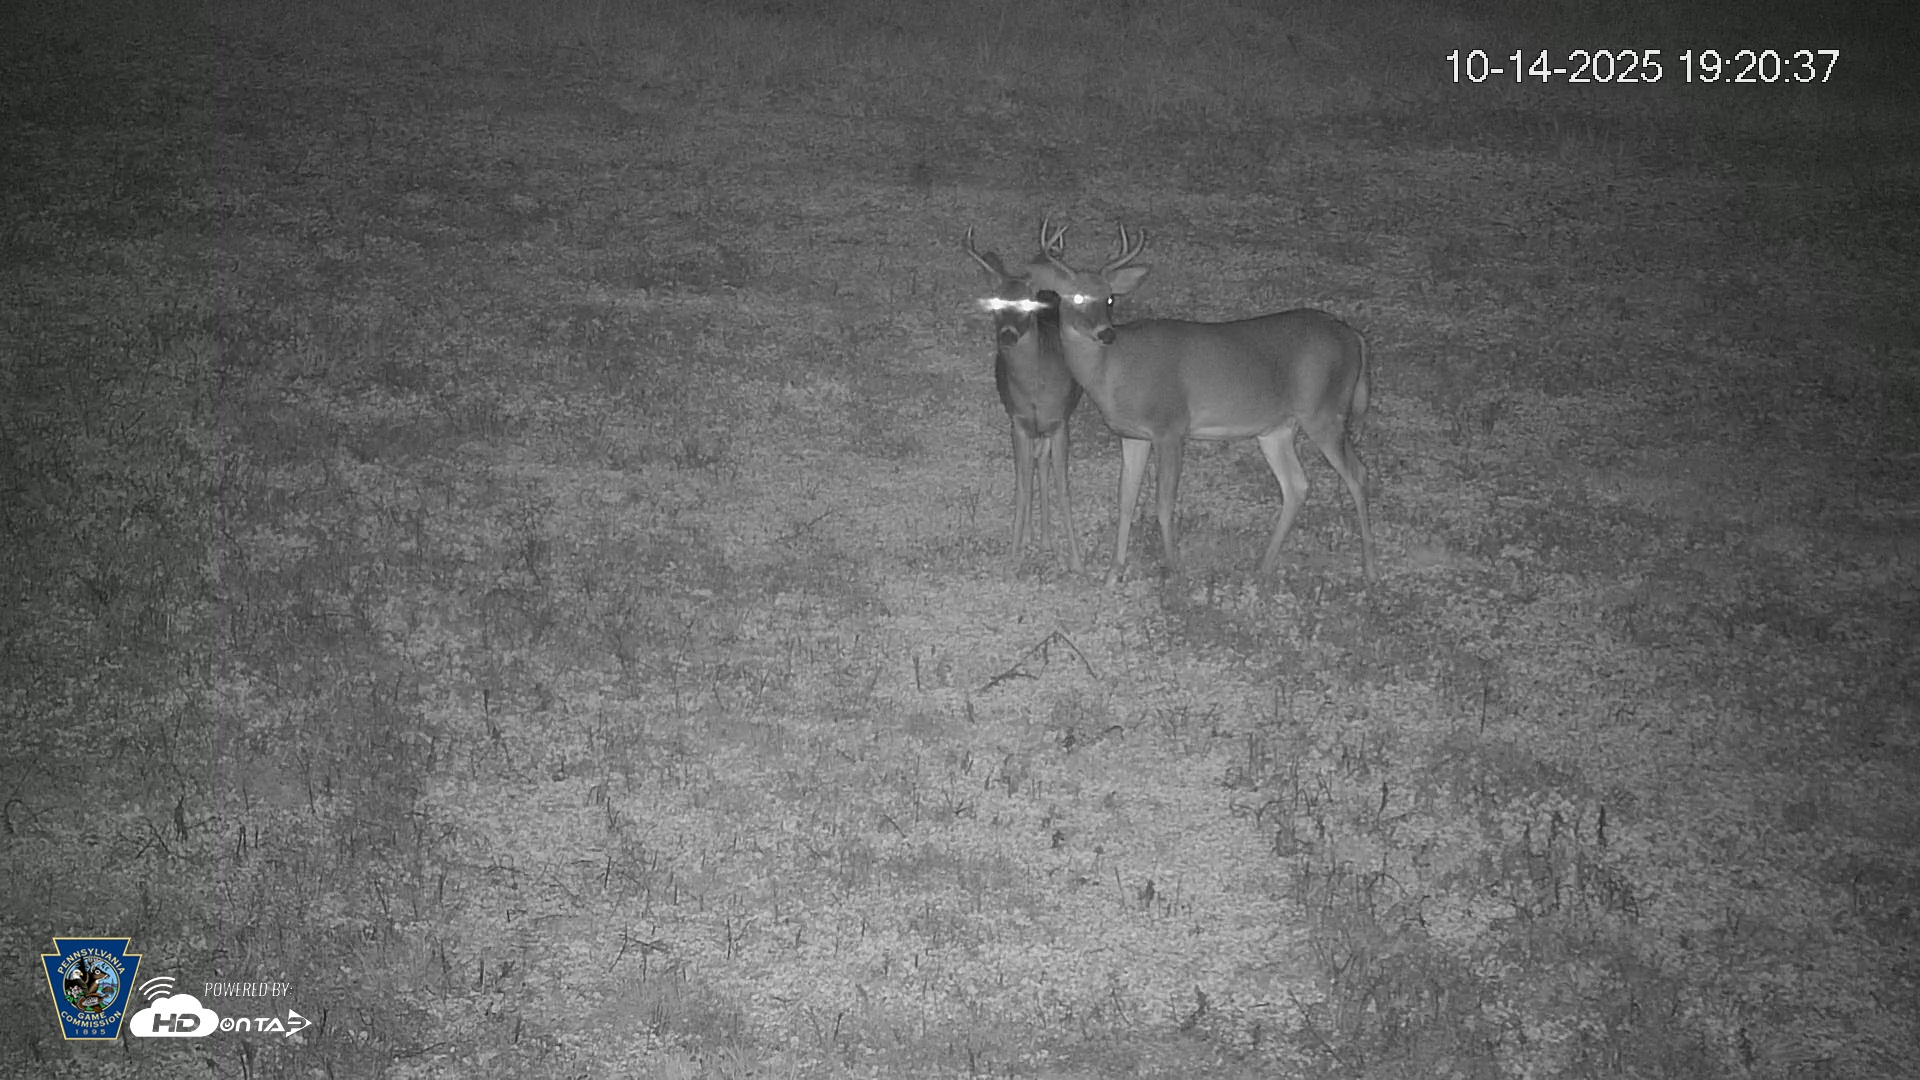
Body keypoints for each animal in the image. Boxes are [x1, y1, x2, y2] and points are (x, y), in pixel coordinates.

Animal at [965, 220, 1084, 572]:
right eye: (995, 303)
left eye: (1026, 304)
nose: (1007, 336)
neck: (1035, 387)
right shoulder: (1017, 421)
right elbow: (1022, 485)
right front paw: (1014, 556)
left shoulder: (1059, 421)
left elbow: (1063, 488)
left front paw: (1076, 561)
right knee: (1034, 465)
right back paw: (1035, 537)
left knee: (1042, 464)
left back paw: (1046, 540)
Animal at [1024, 224, 1379, 586]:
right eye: (1076, 297)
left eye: (1109, 297)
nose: (1106, 333)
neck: (1114, 370)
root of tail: (1355, 337)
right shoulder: (1133, 435)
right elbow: (1125, 501)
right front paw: (1112, 575)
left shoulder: (1170, 426)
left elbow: (1163, 504)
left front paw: (1172, 569)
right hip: (1277, 429)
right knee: (1297, 485)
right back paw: (1263, 567)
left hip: (1325, 410)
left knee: (1358, 474)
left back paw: (1369, 568)